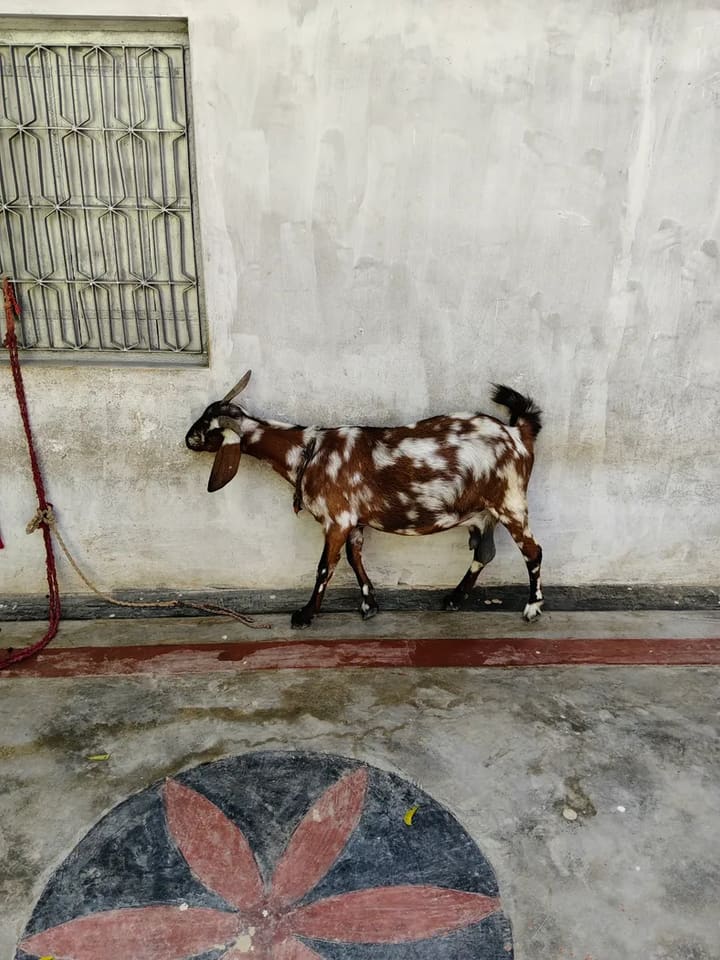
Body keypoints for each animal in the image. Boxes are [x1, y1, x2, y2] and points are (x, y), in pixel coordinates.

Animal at [185, 372, 544, 628]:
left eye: (209, 428)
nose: (188, 439)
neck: (307, 451)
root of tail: (517, 434)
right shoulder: (354, 521)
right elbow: (354, 557)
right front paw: (369, 604)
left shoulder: (336, 519)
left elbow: (325, 567)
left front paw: (305, 615)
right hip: (485, 513)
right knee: (485, 553)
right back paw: (454, 600)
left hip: (511, 503)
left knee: (532, 552)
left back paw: (532, 607)